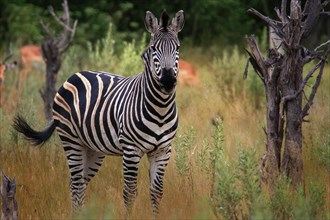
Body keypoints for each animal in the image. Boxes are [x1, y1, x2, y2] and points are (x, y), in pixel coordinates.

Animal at [12, 9, 184, 215]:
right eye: (153, 49)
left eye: (177, 48)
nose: (168, 81)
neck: (160, 108)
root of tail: (75, 74)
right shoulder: (131, 150)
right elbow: (130, 193)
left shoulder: (163, 151)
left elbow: (157, 193)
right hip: (71, 140)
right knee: (77, 183)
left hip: (93, 148)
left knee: (78, 182)